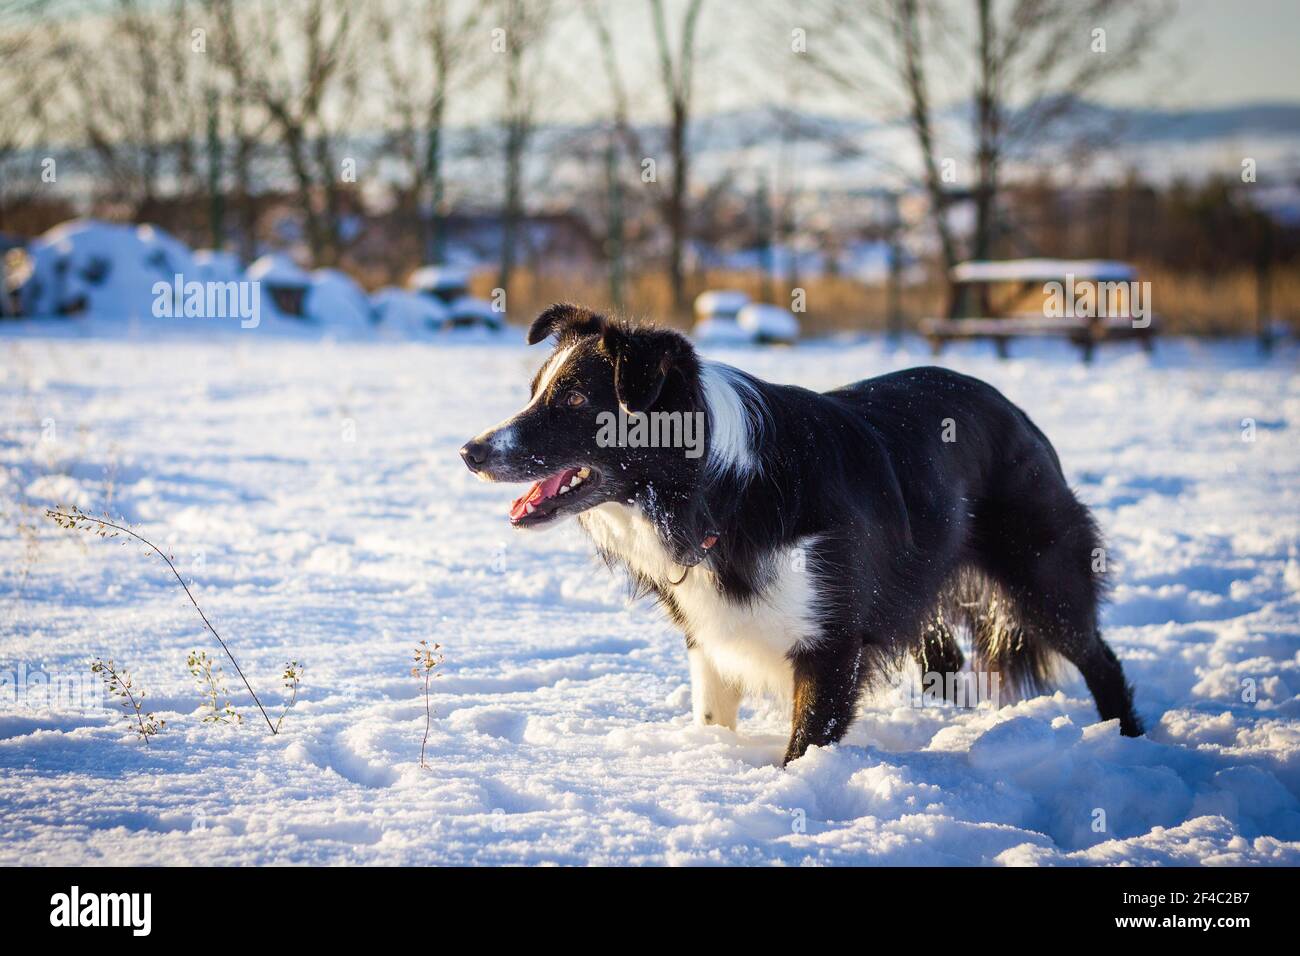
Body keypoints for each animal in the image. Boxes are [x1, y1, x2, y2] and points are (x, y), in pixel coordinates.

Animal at [457, 303, 1138, 764]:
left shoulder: (829, 642)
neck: (718, 493)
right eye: (534, 393)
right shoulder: (710, 635)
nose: (469, 451)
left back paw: (1127, 738)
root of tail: (1016, 411)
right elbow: (713, 717)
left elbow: (805, 746)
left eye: (574, 401)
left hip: (1042, 573)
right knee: (945, 659)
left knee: (1099, 657)